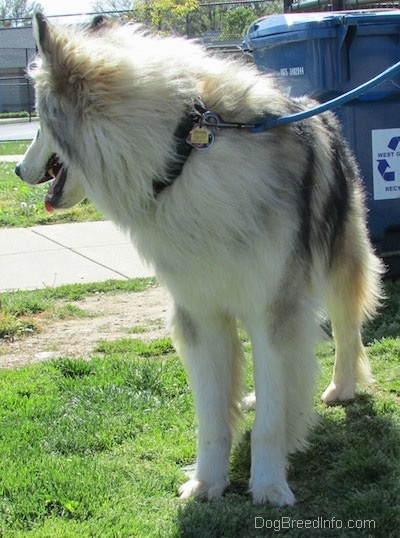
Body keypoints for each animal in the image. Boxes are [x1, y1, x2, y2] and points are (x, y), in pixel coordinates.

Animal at [16, 12, 384, 504]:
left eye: (39, 123)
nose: (17, 169)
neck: (182, 153)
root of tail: (313, 102)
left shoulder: (274, 307)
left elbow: (271, 421)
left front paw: (269, 485)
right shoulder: (200, 312)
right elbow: (211, 418)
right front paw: (208, 481)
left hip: (337, 265)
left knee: (347, 329)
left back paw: (341, 387)